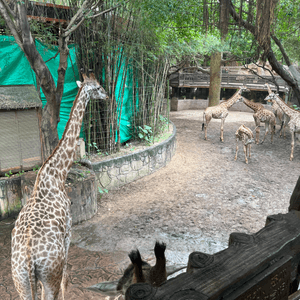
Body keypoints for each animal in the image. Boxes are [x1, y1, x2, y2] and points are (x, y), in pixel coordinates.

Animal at [11, 73, 107, 300]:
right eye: (98, 87)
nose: (108, 96)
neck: (57, 174)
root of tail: (28, 258)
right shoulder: (68, 231)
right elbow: (66, 276)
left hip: (21, 281)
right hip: (49, 274)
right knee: (55, 286)